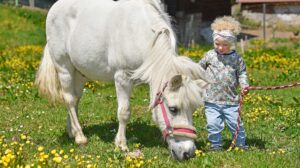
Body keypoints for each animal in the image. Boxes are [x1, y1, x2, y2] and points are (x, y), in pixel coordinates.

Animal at [36, 0, 210, 161]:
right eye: (173, 109)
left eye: (193, 109)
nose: (188, 153)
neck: (142, 33)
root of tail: (55, 7)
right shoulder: (122, 77)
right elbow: (124, 112)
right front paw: (121, 145)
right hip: (64, 67)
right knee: (70, 99)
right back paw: (80, 137)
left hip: (79, 72)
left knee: (76, 98)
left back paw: (71, 131)